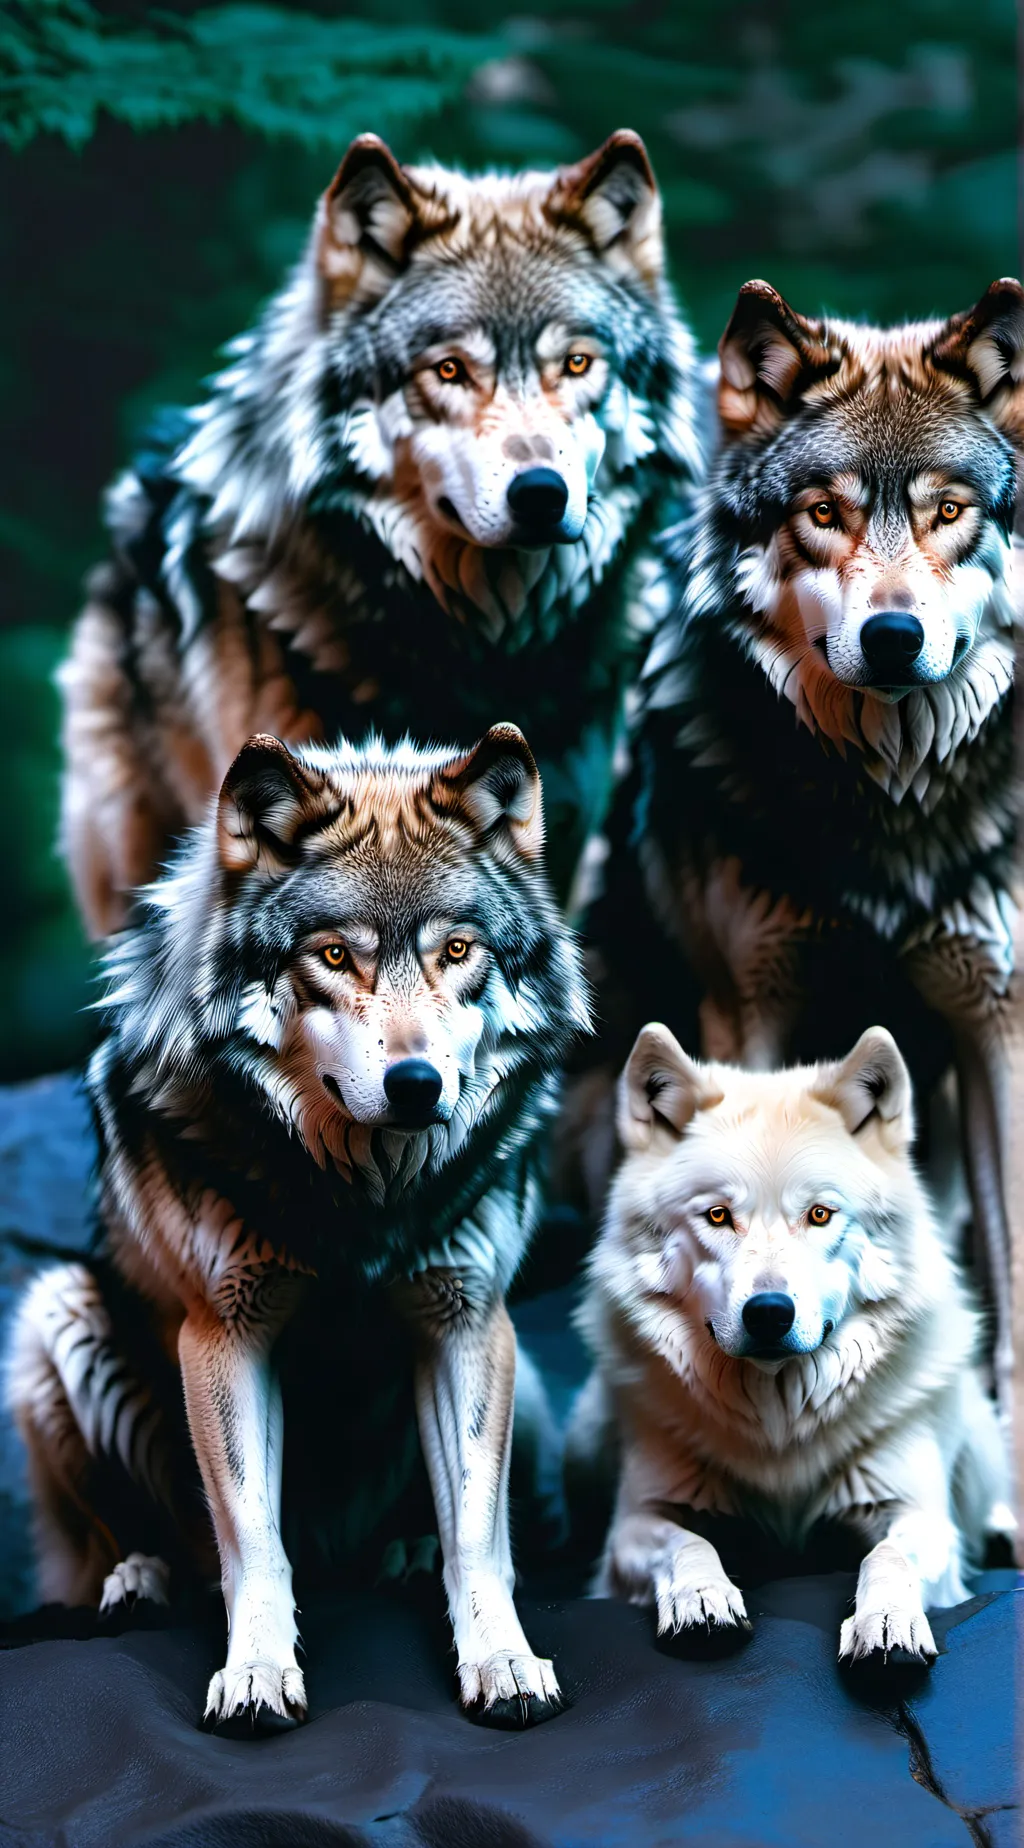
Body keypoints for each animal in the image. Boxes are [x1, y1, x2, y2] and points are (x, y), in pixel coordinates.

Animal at [7, 724, 589, 1730]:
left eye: (458, 950)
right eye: (334, 957)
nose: (417, 1086)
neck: (365, 1202)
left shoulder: (469, 1324)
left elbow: (480, 1534)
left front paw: (504, 1662)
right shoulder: (225, 1333)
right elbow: (252, 1536)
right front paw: (255, 1672)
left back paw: (405, 1553)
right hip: (56, 1314)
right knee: (135, 1542)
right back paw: (140, 1579)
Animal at [567, 1023, 1013, 1667]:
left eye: (820, 1214)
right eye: (718, 1215)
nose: (770, 1313)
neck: (779, 1426)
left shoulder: (918, 1514)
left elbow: (887, 1556)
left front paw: (888, 1623)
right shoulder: (635, 1522)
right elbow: (687, 1543)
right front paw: (702, 1598)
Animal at [623, 277, 1024, 1416]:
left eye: (947, 512)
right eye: (825, 513)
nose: (893, 637)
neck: (886, 800)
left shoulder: (998, 1022)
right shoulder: (753, 1003)